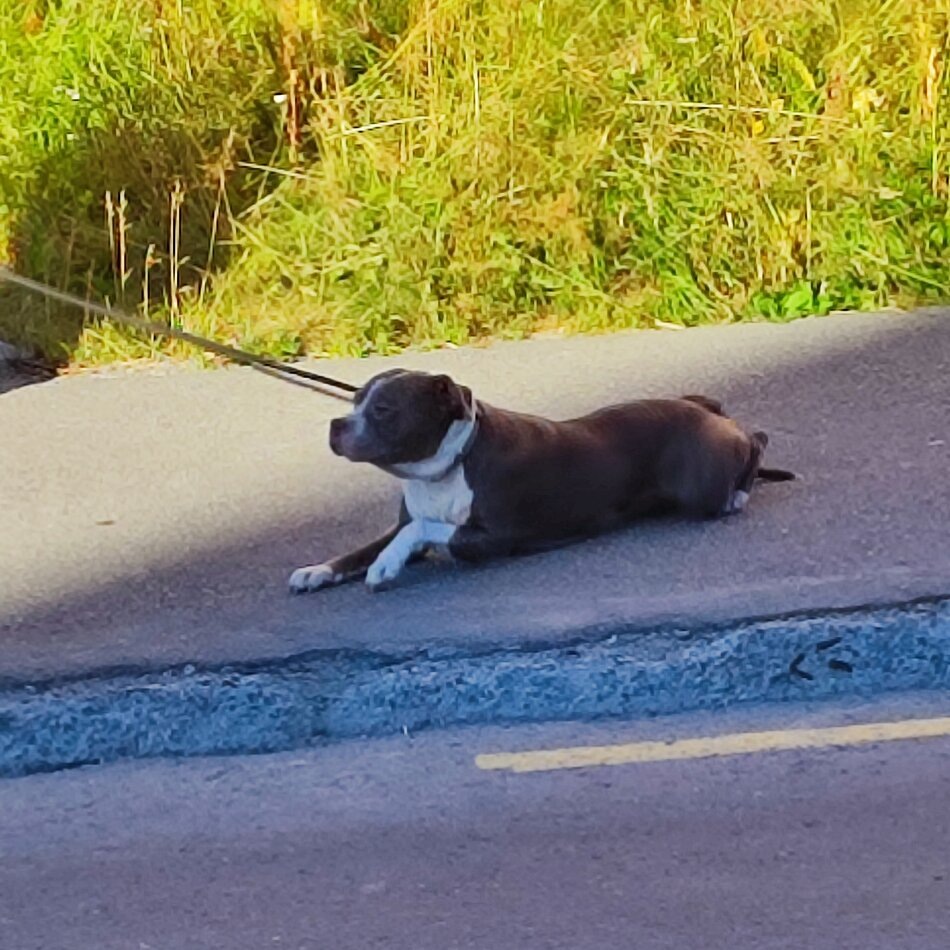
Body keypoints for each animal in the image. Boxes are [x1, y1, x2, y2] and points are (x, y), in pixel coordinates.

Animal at [290, 372, 796, 596]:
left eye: (383, 410)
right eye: (355, 400)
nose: (336, 425)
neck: (447, 466)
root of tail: (706, 407)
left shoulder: (492, 537)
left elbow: (421, 531)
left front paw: (384, 567)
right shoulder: (405, 525)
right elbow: (364, 549)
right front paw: (319, 570)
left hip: (700, 481)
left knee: (757, 440)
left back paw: (740, 491)